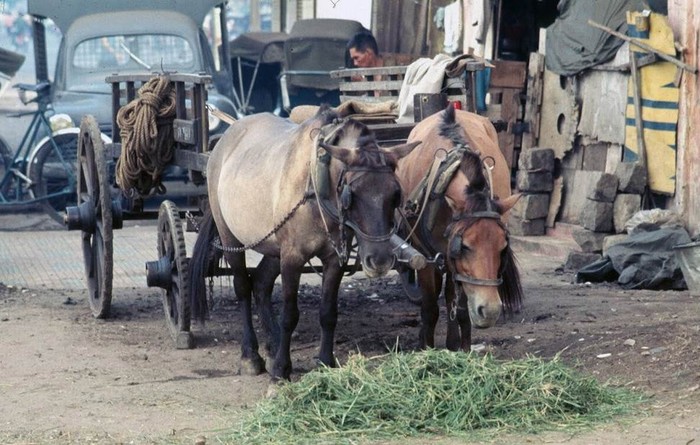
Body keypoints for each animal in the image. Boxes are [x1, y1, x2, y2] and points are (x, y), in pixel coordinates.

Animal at [189, 106, 418, 378]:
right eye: (351, 194)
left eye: (395, 194)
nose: (381, 260)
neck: (316, 180)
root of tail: (226, 137)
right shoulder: (292, 257)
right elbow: (290, 314)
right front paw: (280, 370)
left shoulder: (333, 259)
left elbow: (328, 312)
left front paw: (325, 361)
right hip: (230, 236)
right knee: (243, 288)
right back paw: (250, 355)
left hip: (272, 245)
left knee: (261, 284)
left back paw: (273, 345)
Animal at [396, 106, 524, 352]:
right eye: (464, 246)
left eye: (502, 247)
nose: (490, 311)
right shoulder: (425, 257)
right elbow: (430, 309)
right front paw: (426, 348)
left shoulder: (460, 268)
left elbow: (462, 309)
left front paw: (462, 349)